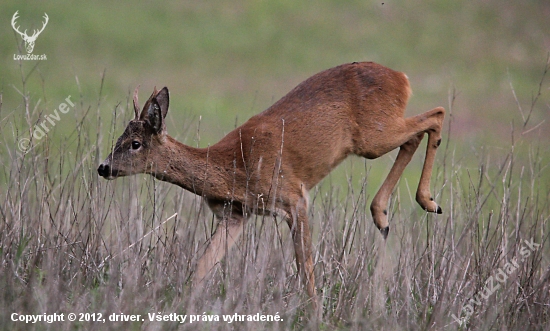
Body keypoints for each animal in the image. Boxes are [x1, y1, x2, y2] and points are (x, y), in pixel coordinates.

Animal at [97, 61, 446, 306]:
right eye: (119, 138)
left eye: (135, 143)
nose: (103, 167)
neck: (233, 168)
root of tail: (402, 77)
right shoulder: (235, 215)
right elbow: (202, 266)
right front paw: (184, 305)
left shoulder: (294, 196)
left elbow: (305, 268)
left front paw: (315, 314)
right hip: (377, 134)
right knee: (417, 132)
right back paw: (383, 214)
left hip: (373, 136)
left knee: (436, 114)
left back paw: (426, 201)